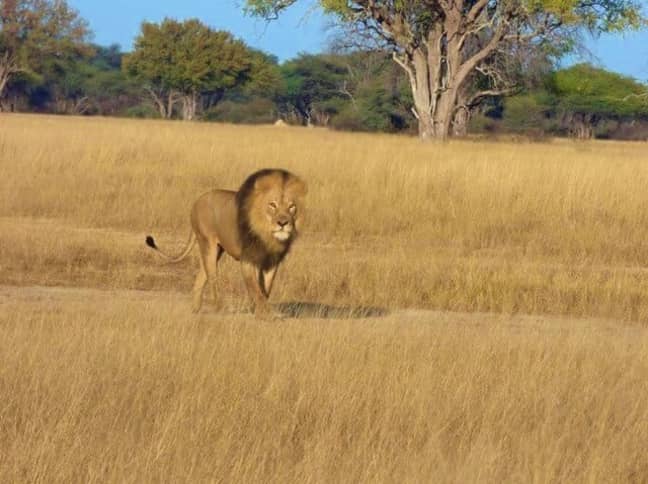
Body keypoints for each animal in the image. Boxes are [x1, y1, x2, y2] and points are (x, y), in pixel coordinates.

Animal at [146, 168, 308, 320]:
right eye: (272, 205)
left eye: (292, 206)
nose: (283, 223)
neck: (267, 235)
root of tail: (197, 201)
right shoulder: (248, 260)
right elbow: (256, 289)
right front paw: (266, 314)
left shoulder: (272, 262)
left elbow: (265, 289)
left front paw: (258, 310)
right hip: (208, 244)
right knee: (212, 278)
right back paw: (220, 308)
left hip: (217, 249)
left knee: (201, 277)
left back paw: (196, 309)